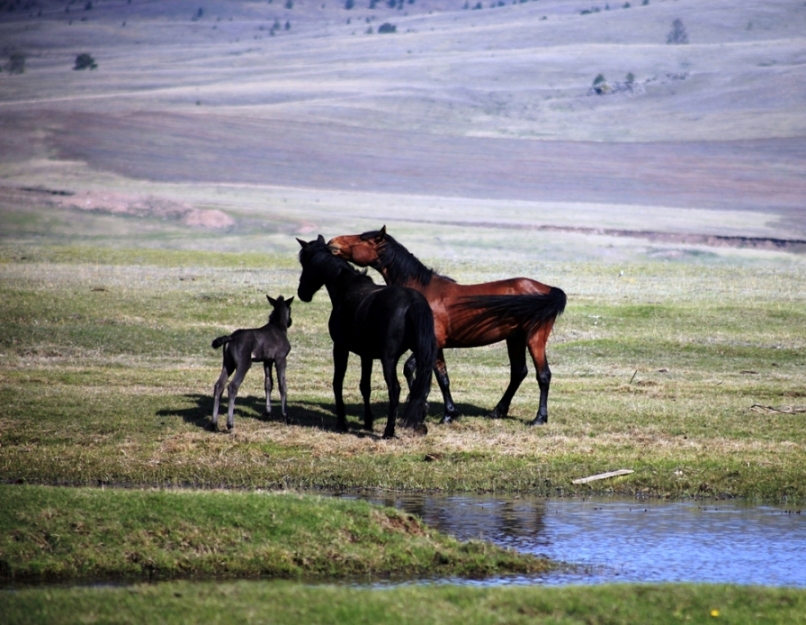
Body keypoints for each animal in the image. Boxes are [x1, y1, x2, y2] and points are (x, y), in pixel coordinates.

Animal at [211, 294, 294, 432]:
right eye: (290, 309)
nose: (290, 321)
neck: (278, 327)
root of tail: (230, 337)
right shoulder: (280, 358)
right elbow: (282, 385)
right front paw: (286, 416)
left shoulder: (267, 361)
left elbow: (268, 384)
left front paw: (268, 413)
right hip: (243, 364)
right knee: (232, 386)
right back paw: (230, 424)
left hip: (228, 364)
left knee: (219, 385)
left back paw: (214, 424)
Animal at [296, 235, 436, 438]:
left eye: (305, 264)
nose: (302, 293)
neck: (347, 288)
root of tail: (413, 301)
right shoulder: (366, 355)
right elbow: (365, 386)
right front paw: (368, 422)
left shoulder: (340, 347)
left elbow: (337, 382)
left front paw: (341, 423)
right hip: (419, 355)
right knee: (420, 387)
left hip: (388, 359)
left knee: (394, 389)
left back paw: (388, 432)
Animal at [328, 227, 568, 426]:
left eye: (363, 238)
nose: (333, 242)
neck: (423, 292)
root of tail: (547, 289)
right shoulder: (432, 346)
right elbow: (428, 374)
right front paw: (434, 408)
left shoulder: (433, 343)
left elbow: (427, 374)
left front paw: (435, 410)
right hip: (515, 339)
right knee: (518, 372)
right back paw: (497, 411)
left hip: (534, 339)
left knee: (543, 375)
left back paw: (539, 418)